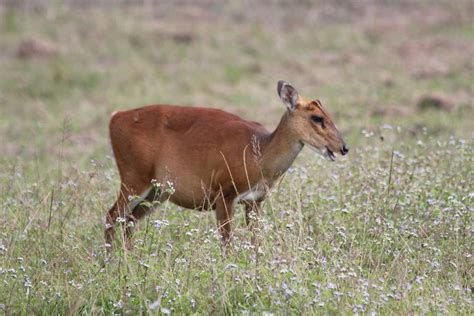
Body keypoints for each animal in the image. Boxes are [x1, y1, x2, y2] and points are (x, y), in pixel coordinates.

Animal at [104, 81, 348, 249]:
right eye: (317, 118)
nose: (343, 147)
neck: (258, 154)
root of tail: (115, 117)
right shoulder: (224, 192)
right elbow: (227, 242)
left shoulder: (255, 201)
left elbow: (256, 241)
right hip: (133, 176)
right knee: (112, 216)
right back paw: (109, 264)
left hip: (158, 190)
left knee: (129, 221)